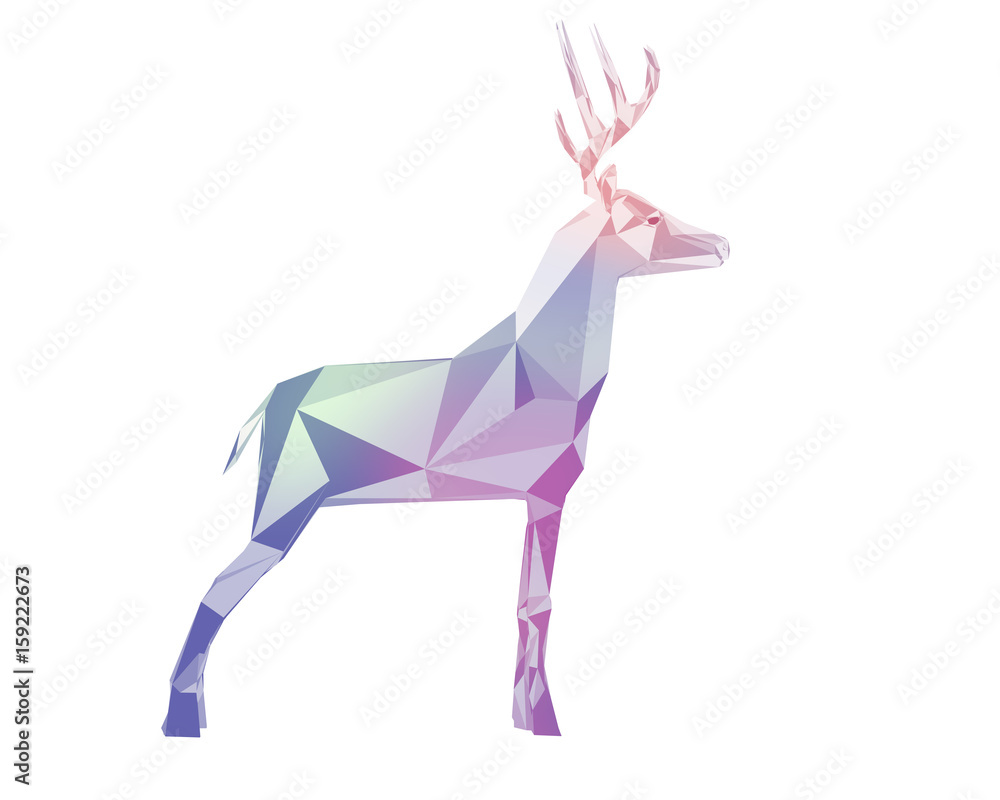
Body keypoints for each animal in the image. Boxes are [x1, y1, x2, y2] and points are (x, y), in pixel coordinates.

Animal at [162, 21, 729, 738]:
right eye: (649, 215)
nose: (722, 245)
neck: (543, 368)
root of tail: (267, 401)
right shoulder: (549, 491)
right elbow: (540, 605)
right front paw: (548, 723)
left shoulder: (528, 497)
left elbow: (524, 603)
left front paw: (521, 719)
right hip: (284, 503)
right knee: (215, 590)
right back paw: (182, 723)